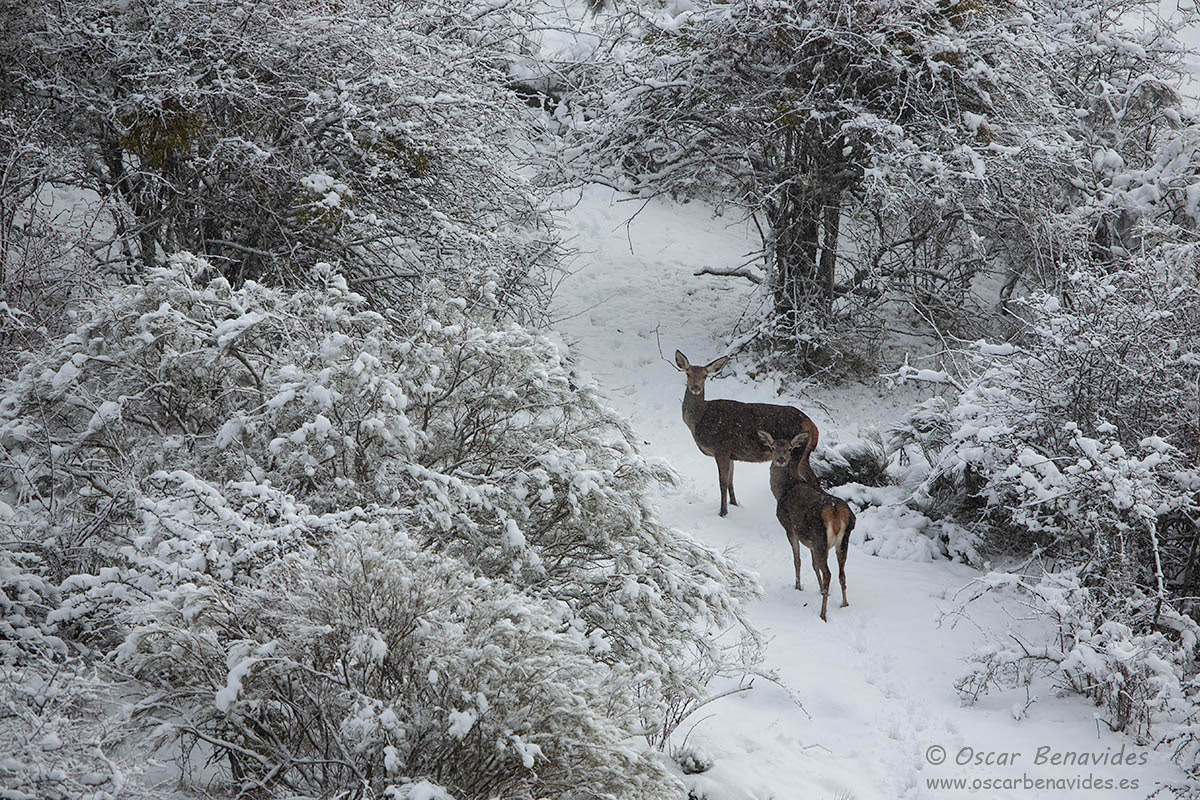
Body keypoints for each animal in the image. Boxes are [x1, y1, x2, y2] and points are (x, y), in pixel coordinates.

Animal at [675, 350, 818, 517]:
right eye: (688, 373)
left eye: (705, 375)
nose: (696, 387)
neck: (699, 420)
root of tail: (813, 427)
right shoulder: (731, 454)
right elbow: (730, 481)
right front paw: (734, 504)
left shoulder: (721, 448)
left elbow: (722, 483)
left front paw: (723, 512)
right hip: (804, 455)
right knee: (814, 480)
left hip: (795, 453)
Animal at [758, 429, 854, 622]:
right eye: (772, 447)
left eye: (789, 448)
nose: (780, 459)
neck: (783, 490)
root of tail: (836, 511)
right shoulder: (809, 541)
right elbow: (813, 564)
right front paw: (820, 590)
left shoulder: (789, 528)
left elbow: (798, 560)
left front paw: (798, 586)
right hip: (842, 540)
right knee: (841, 573)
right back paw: (844, 603)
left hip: (820, 538)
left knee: (829, 573)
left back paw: (823, 614)